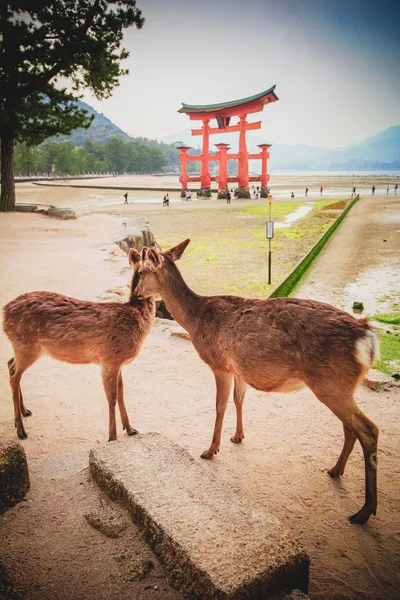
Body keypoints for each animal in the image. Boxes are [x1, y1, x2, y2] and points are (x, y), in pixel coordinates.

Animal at [3, 247, 156, 440]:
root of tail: (4, 314)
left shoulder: (118, 363)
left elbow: (121, 393)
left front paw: (131, 429)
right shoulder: (109, 359)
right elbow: (112, 397)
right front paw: (112, 437)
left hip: (23, 347)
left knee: (10, 364)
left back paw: (25, 411)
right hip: (27, 346)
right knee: (14, 376)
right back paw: (21, 430)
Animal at [135, 239, 382, 524]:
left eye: (141, 272)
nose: (136, 294)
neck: (196, 321)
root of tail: (368, 337)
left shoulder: (220, 364)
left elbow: (220, 405)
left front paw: (211, 449)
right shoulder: (239, 369)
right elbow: (239, 399)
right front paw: (238, 436)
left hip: (331, 382)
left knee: (368, 429)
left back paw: (364, 511)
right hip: (339, 386)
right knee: (350, 427)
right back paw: (335, 470)